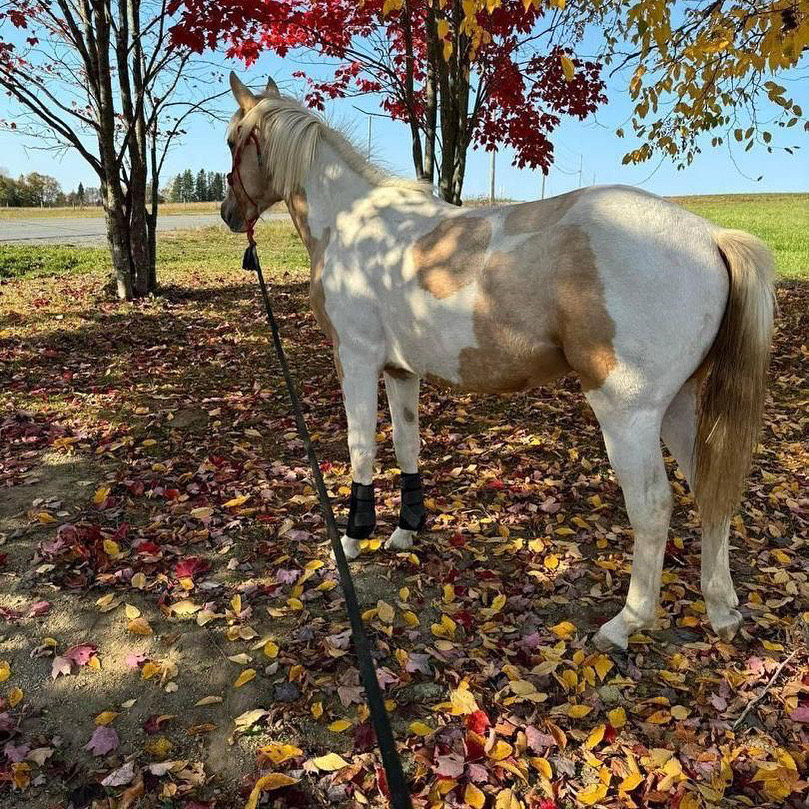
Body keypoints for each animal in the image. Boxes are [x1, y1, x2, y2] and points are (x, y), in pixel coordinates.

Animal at [221, 72, 775, 652]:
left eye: (233, 140)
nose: (229, 214)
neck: (357, 225)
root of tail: (709, 236)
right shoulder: (401, 370)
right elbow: (406, 443)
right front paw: (406, 528)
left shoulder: (355, 359)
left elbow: (361, 449)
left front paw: (352, 539)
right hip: (679, 406)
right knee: (711, 489)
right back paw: (722, 608)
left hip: (630, 415)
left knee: (652, 507)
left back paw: (626, 622)